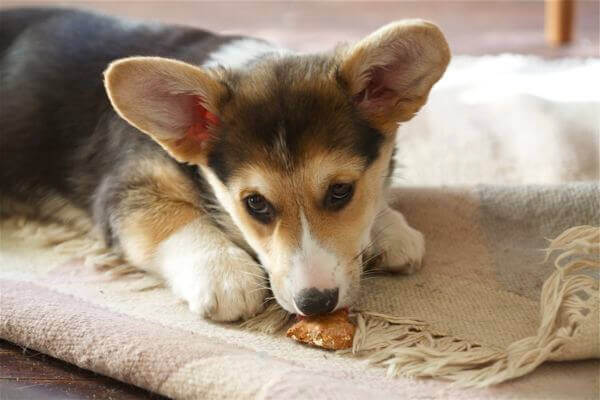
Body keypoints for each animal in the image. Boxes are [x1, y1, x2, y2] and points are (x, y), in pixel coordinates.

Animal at [1, 7, 450, 322]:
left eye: (341, 191)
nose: (316, 303)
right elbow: (174, 219)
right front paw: (224, 275)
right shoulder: (125, 186)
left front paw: (391, 229)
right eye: (255, 204)